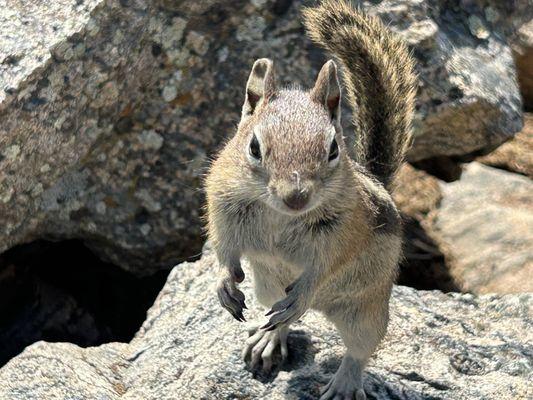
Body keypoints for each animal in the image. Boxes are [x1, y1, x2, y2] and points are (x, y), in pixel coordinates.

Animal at [204, 1, 416, 398]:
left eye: (333, 149)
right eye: (254, 147)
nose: (296, 198)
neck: (280, 215)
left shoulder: (346, 232)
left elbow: (324, 268)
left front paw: (302, 292)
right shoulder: (221, 201)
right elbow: (223, 248)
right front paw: (224, 283)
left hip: (366, 310)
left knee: (358, 349)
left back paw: (344, 382)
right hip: (268, 289)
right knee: (276, 318)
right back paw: (268, 341)